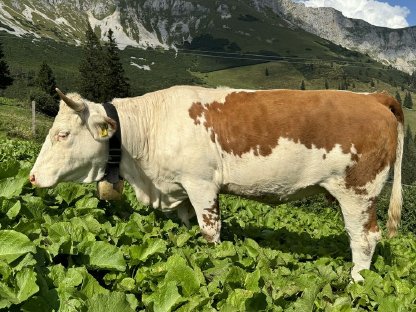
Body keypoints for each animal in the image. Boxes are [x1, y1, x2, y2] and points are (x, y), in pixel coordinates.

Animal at [30, 85, 404, 280]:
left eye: (62, 134)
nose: (32, 176)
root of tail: (372, 97)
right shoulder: (178, 189)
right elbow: (186, 226)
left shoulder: (201, 185)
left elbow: (210, 231)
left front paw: (214, 261)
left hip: (358, 192)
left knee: (364, 239)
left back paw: (357, 282)